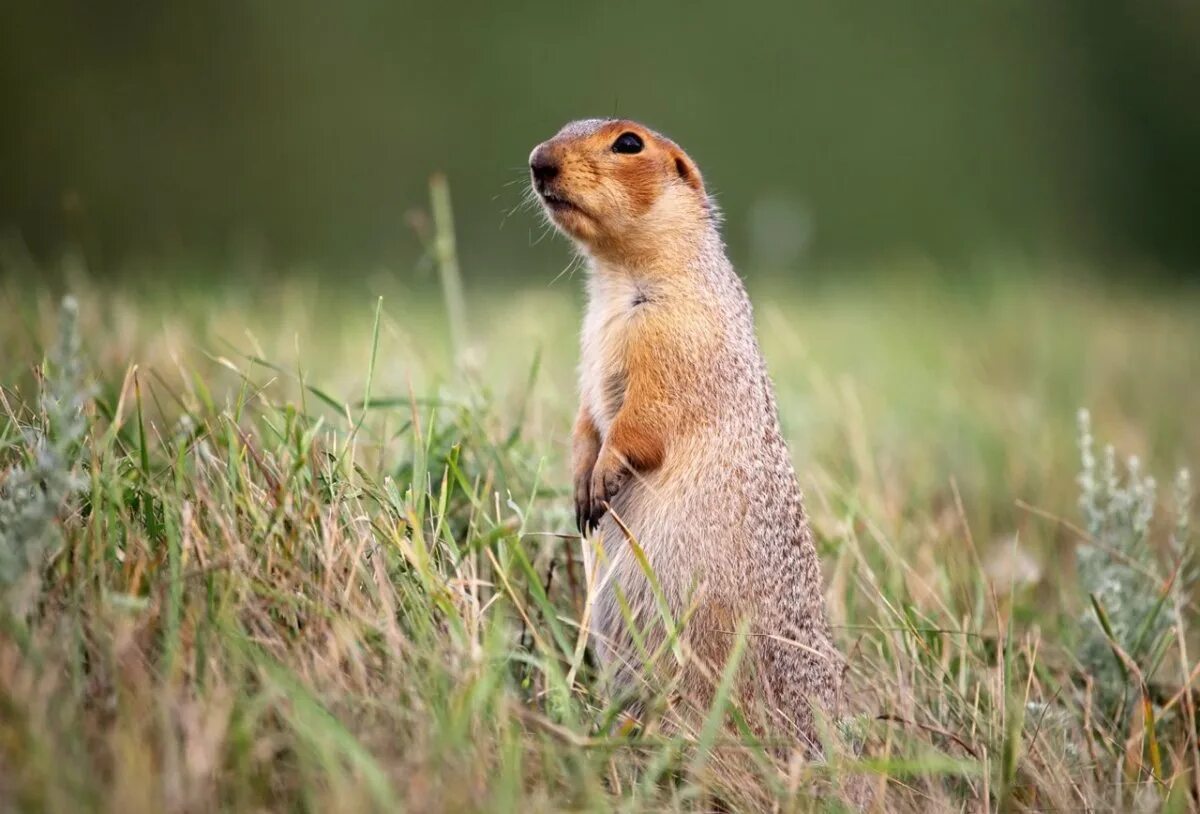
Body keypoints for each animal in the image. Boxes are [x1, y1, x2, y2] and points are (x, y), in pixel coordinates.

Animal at [525, 118, 844, 753]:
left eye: (629, 143)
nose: (537, 160)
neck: (618, 280)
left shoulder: (676, 336)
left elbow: (645, 417)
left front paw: (604, 476)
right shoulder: (590, 346)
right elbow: (584, 418)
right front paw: (579, 483)